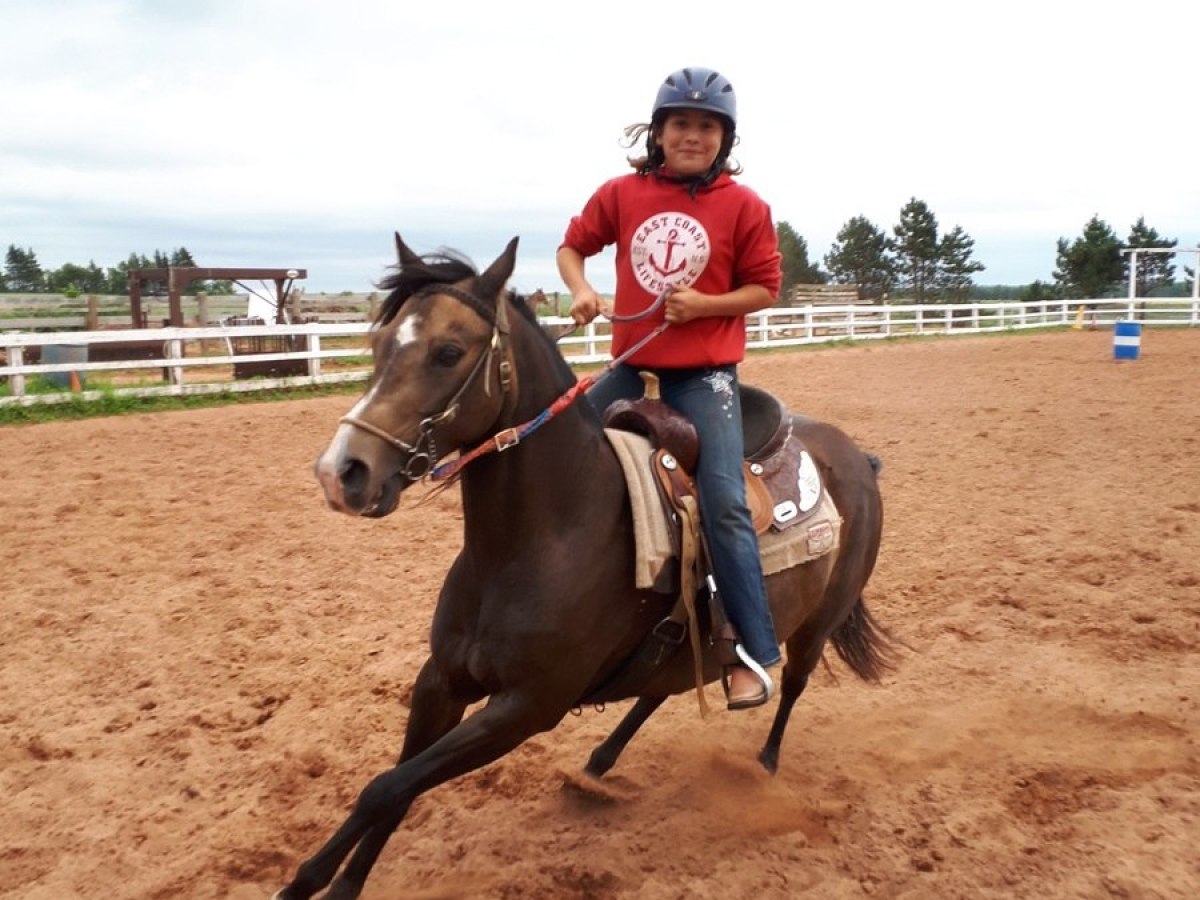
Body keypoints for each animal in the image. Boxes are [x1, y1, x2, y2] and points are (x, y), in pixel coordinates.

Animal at [277, 234, 893, 900]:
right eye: (380, 344)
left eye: (448, 352)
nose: (343, 472)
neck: (540, 540)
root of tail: (856, 457)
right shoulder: (440, 681)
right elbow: (393, 790)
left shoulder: (525, 708)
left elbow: (383, 788)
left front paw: (307, 884)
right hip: (690, 639)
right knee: (661, 687)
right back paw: (598, 766)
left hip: (816, 626)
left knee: (792, 688)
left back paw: (763, 768)